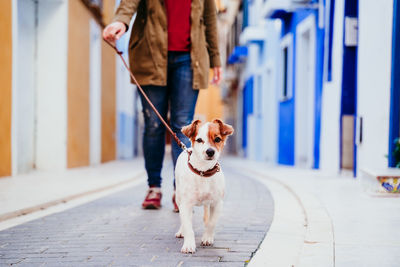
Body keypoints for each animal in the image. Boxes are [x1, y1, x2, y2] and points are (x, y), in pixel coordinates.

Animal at [173, 119, 233, 253]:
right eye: (199, 140)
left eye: (217, 139)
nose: (210, 151)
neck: (203, 171)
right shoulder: (186, 204)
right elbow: (188, 226)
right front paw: (189, 245)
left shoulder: (217, 203)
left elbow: (212, 222)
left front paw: (207, 238)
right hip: (179, 198)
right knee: (183, 218)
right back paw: (181, 231)